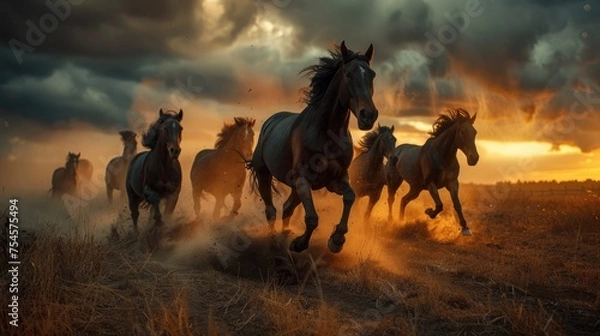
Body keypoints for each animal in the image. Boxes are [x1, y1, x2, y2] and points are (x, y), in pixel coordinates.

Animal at [251, 40, 378, 253]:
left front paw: (337, 240)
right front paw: (299, 243)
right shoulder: (303, 180)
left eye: (372, 74)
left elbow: (350, 197)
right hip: (264, 174)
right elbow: (311, 218)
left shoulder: (336, 180)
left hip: (294, 187)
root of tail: (271, 120)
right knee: (271, 210)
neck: (327, 134)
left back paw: (284, 236)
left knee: (287, 208)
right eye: (348, 74)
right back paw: (275, 241)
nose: (368, 115)